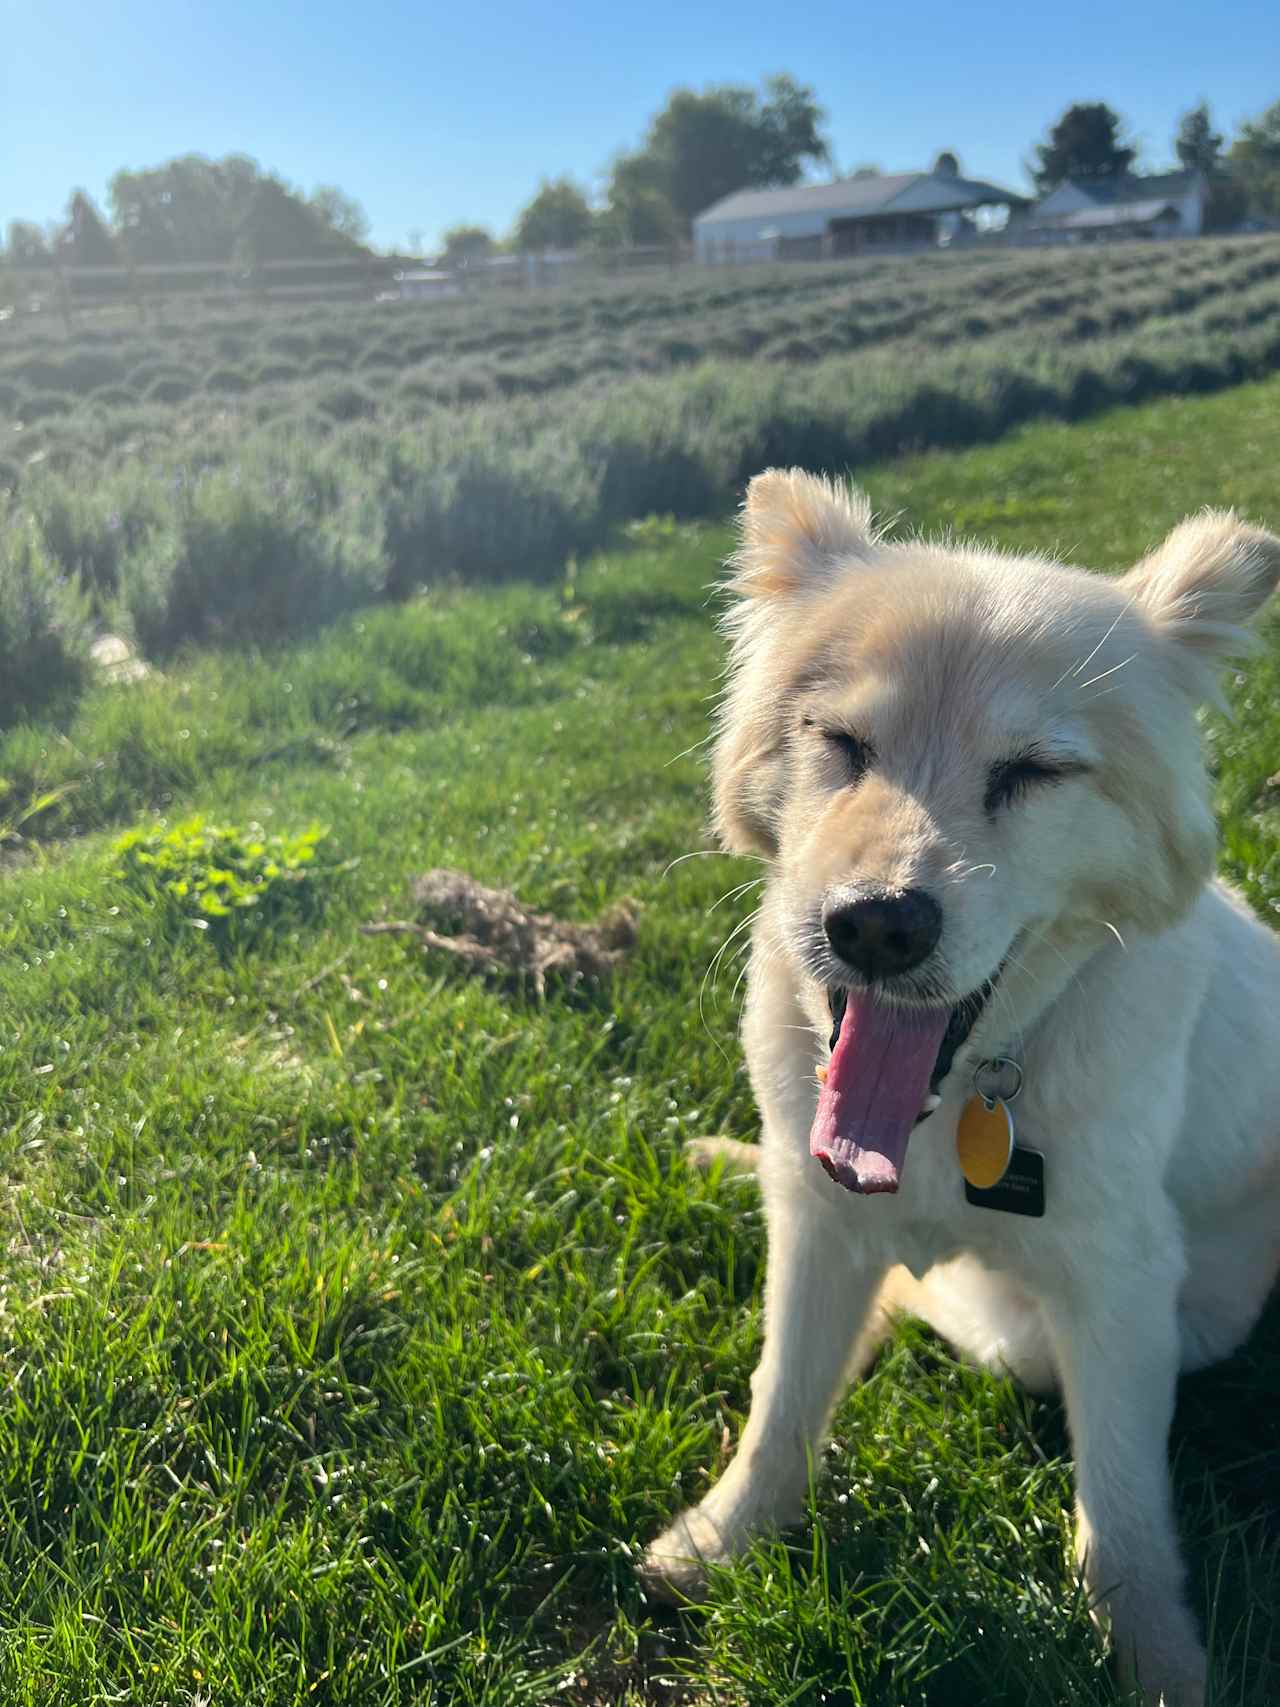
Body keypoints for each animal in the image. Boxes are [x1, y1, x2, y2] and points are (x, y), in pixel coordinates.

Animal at [645, 471, 1280, 1707]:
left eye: (1032, 770)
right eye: (841, 741)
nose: (876, 926)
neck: (958, 1110)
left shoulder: (1119, 1283)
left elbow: (1121, 1503)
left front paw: (1157, 1659)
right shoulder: (817, 1220)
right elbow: (780, 1396)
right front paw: (718, 1544)